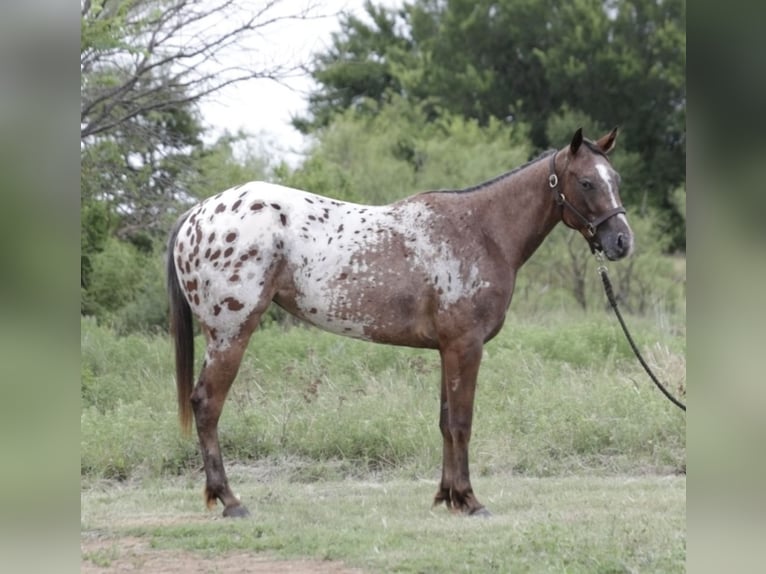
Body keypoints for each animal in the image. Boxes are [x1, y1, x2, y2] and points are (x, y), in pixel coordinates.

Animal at [167, 127, 633, 517]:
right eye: (586, 182)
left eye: (616, 179)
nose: (622, 242)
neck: (482, 231)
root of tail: (197, 214)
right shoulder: (465, 345)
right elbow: (462, 423)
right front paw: (470, 500)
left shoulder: (448, 349)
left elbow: (445, 423)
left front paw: (447, 496)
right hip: (230, 334)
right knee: (207, 405)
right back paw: (230, 500)